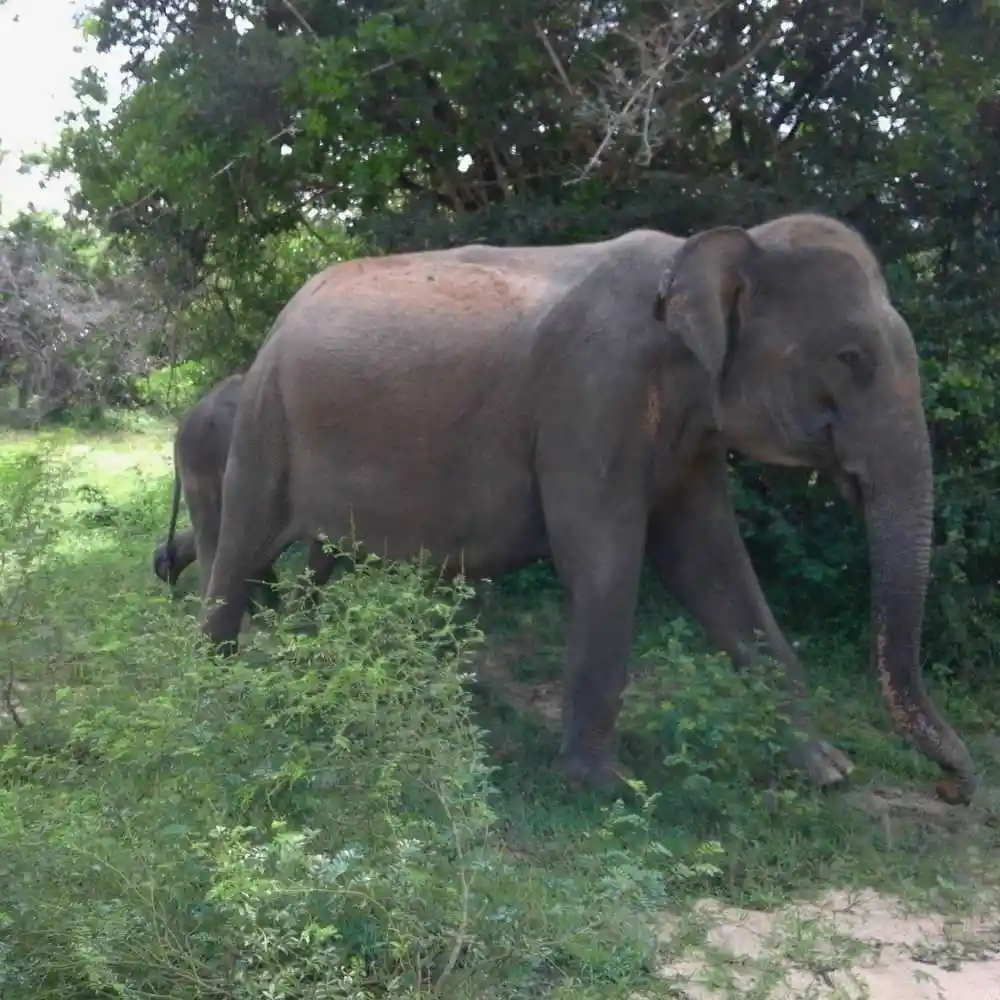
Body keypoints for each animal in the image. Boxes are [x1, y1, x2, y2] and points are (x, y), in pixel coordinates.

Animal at [197, 212, 977, 806]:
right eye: (849, 357)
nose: (955, 787)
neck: (713, 250)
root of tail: (282, 315)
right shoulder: (592, 395)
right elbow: (605, 559)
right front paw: (609, 789)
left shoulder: (688, 431)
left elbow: (712, 563)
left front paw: (826, 771)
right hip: (266, 420)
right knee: (242, 547)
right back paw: (216, 690)